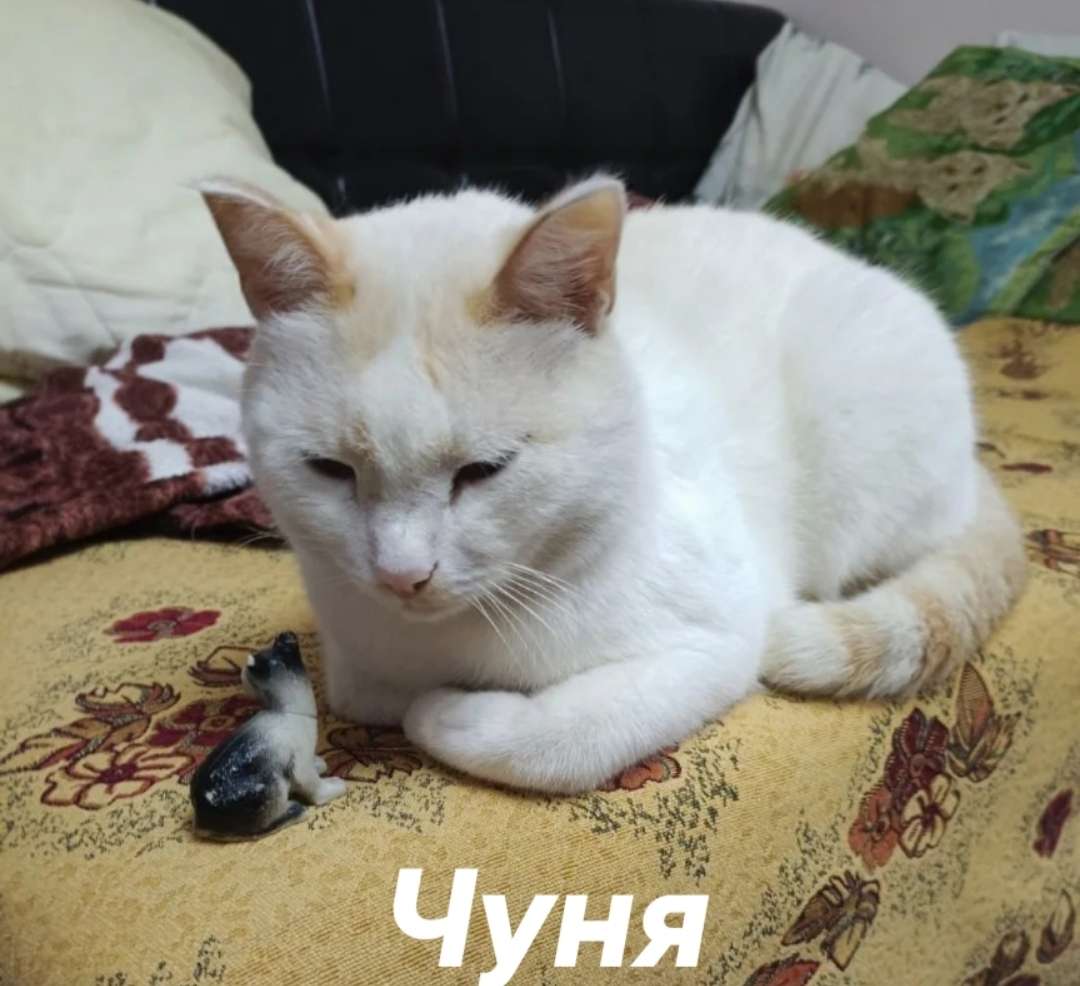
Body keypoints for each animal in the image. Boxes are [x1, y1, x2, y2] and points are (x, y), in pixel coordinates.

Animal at [201, 175, 1026, 795]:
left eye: (483, 471)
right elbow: (370, 697)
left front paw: (451, 715)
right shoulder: (353, 662)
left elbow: (559, 740)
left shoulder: (713, 641)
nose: (403, 575)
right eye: (330, 470)